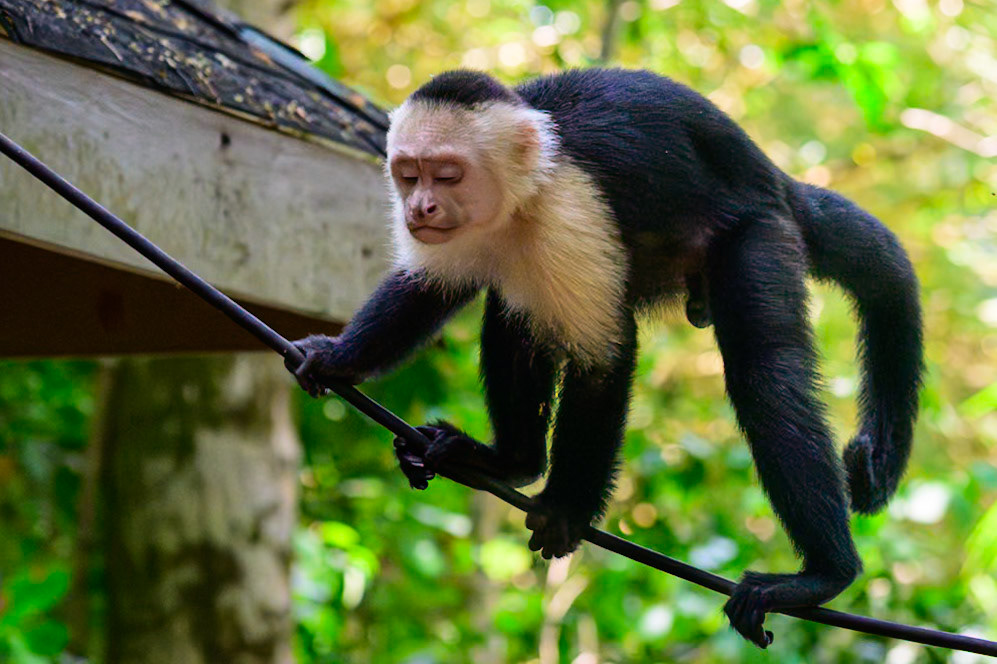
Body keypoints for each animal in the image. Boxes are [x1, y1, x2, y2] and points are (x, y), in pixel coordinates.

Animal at [288, 68, 924, 648]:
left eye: (447, 174)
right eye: (408, 173)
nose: (419, 207)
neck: (525, 192)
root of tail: (776, 182)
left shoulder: (573, 207)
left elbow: (605, 357)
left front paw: (567, 510)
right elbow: (426, 289)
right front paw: (338, 358)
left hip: (759, 232)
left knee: (763, 371)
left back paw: (824, 575)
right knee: (514, 310)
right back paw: (512, 462)